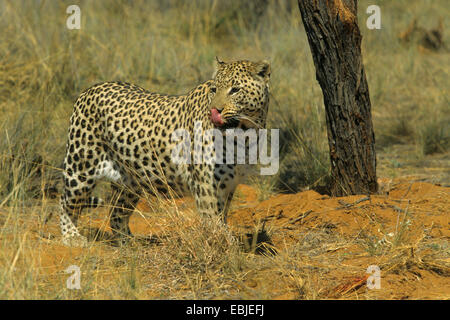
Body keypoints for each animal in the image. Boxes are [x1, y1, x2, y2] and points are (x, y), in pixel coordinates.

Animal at [59, 57, 270, 246]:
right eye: (214, 89)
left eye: (235, 90)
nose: (214, 111)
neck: (243, 134)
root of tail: (90, 89)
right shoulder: (206, 185)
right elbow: (213, 220)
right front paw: (224, 247)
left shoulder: (228, 185)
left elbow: (221, 217)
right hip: (81, 166)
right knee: (66, 202)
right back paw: (71, 237)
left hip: (129, 181)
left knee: (116, 213)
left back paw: (128, 243)